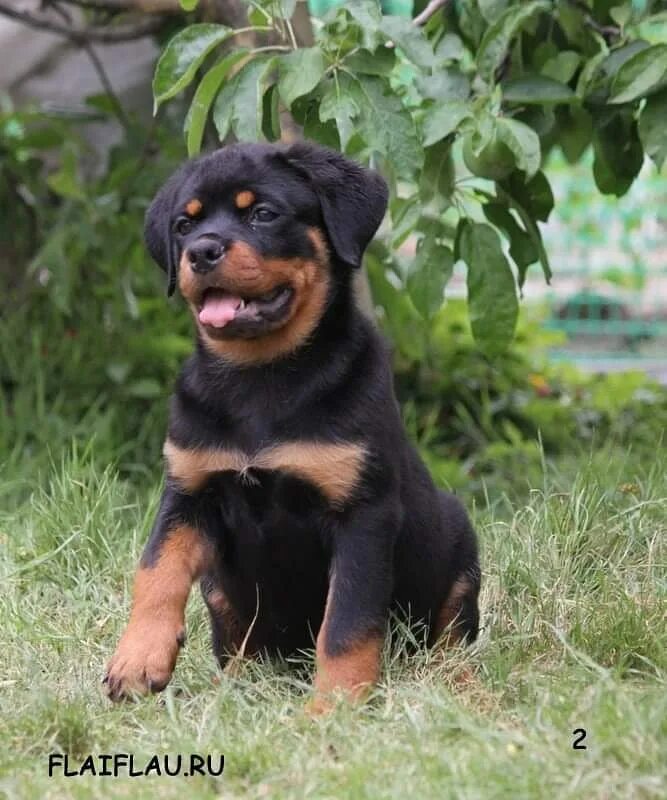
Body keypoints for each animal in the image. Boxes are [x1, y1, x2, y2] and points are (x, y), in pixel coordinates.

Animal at [103, 141, 480, 708]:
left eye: (262, 213)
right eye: (184, 226)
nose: (202, 251)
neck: (261, 376)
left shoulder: (362, 516)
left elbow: (346, 625)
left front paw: (334, 709)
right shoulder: (189, 491)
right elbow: (155, 571)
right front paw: (137, 658)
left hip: (458, 547)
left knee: (454, 634)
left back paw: (464, 686)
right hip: (220, 587)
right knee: (242, 646)